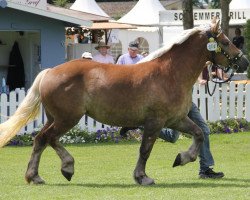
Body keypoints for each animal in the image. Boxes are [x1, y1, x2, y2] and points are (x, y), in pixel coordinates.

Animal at [0, 19, 248, 186]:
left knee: (40, 140)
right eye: (226, 41)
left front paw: (182, 158)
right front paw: (142, 177)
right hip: (67, 118)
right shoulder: (155, 122)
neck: (170, 74)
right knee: (47, 138)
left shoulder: (176, 120)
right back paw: (62, 169)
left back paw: (37, 175)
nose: (243, 62)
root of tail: (50, 72)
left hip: (55, 118)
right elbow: (145, 149)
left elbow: (198, 134)